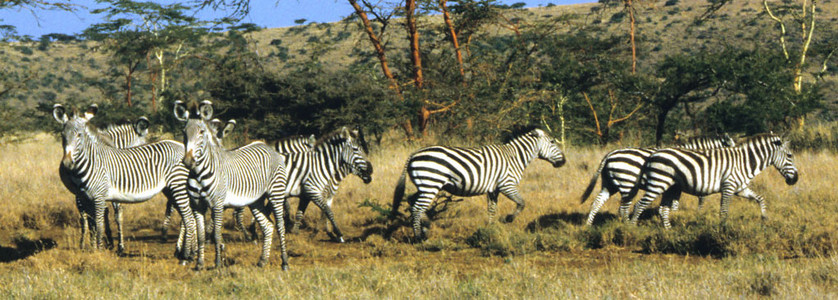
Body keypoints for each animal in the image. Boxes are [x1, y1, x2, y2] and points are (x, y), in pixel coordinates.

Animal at [53, 103, 198, 258]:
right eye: (62, 135)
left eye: (79, 135)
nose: (67, 164)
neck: (92, 161)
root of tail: (183, 146)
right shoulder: (86, 197)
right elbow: (91, 222)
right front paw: (92, 249)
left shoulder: (99, 197)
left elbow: (101, 223)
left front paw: (101, 251)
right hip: (170, 189)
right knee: (188, 217)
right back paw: (187, 251)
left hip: (178, 186)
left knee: (188, 218)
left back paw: (187, 253)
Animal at [174, 100, 292, 270]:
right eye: (184, 132)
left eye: (202, 132)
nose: (188, 162)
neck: (198, 174)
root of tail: (267, 147)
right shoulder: (197, 205)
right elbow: (201, 236)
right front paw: (199, 265)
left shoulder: (217, 204)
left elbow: (216, 235)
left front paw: (217, 264)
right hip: (255, 201)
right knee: (268, 226)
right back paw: (262, 261)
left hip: (276, 193)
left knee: (280, 226)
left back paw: (284, 262)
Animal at [392, 127, 564, 240]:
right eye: (552, 141)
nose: (564, 161)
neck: (514, 157)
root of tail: (414, 154)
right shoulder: (507, 185)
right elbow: (522, 203)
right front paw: (508, 219)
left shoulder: (494, 189)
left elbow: (492, 209)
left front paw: (491, 229)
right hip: (431, 184)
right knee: (416, 207)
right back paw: (418, 236)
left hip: (425, 185)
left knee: (412, 201)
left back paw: (425, 227)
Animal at [580, 133, 740, 225]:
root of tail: (610, 154)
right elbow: (682, 202)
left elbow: (673, 203)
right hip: (627, 183)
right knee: (622, 207)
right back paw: (627, 225)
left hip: (610, 184)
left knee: (597, 202)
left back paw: (588, 225)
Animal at [632, 132, 804, 229]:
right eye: (790, 156)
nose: (795, 180)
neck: (744, 161)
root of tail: (653, 155)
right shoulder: (729, 186)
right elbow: (724, 211)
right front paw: (723, 230)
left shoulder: (740, 188)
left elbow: (760, 198)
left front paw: (764, 218)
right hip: (657, 184)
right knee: (639, 205)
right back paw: (630, 228)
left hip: (670, 187)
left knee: (662, 209)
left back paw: (668, 231)